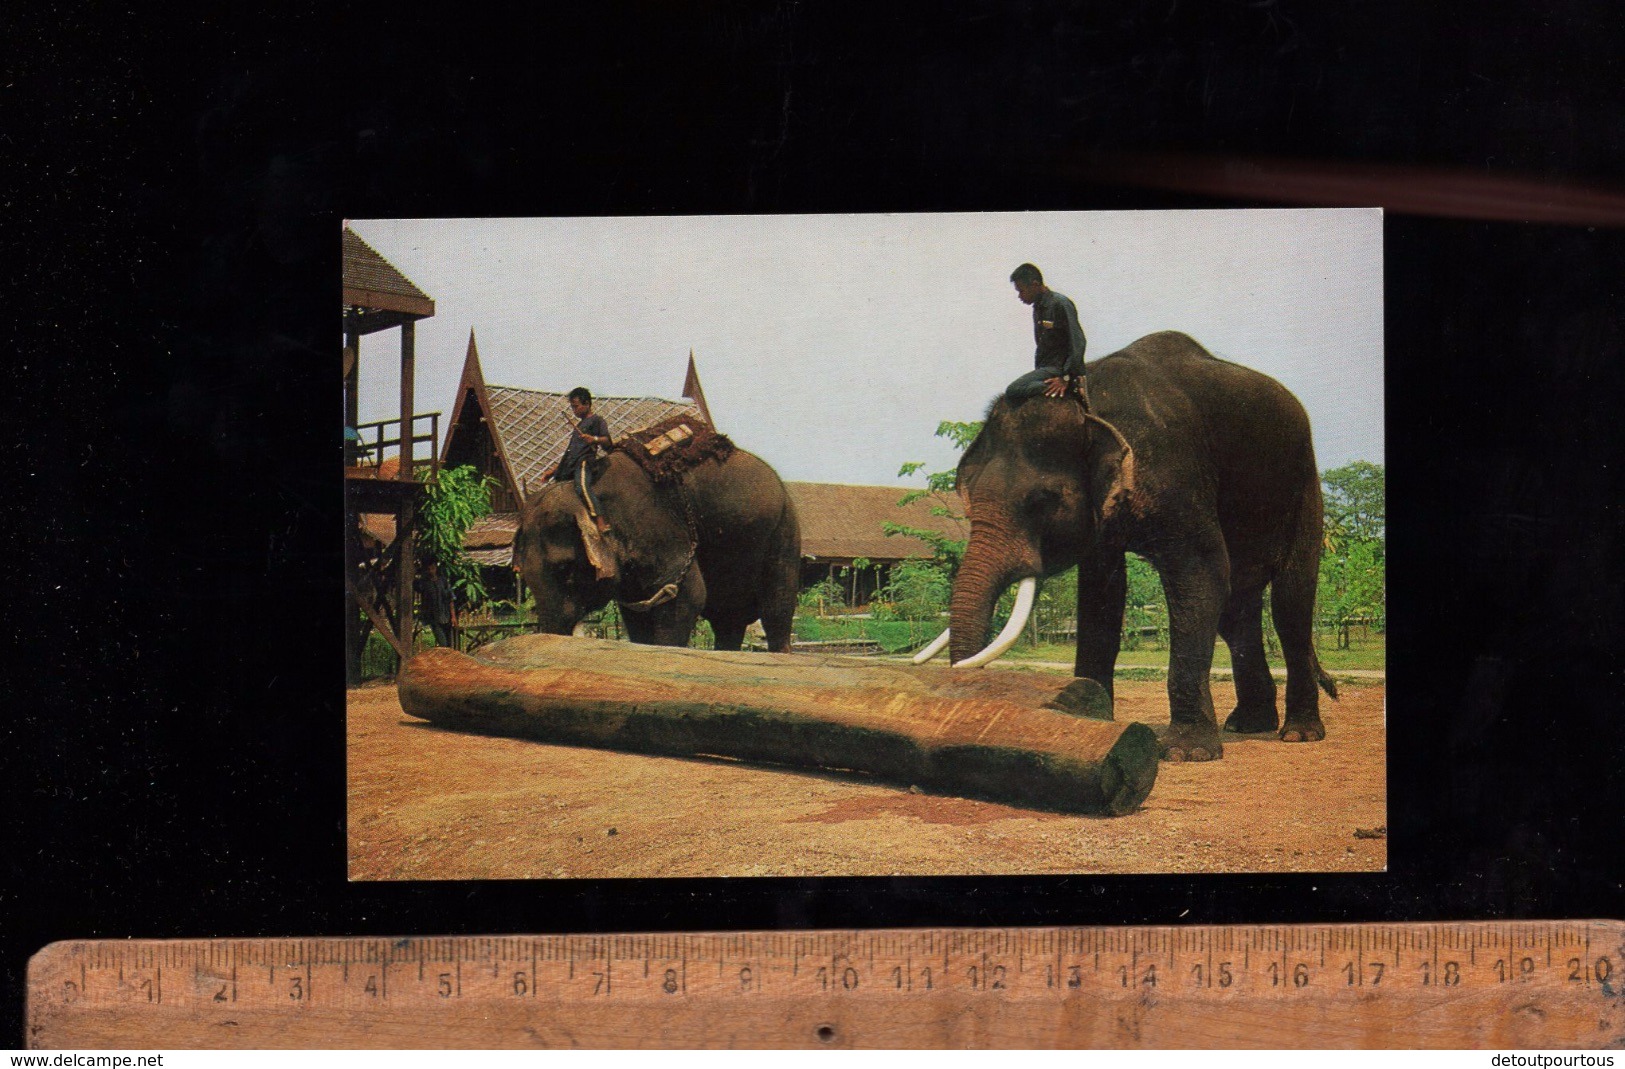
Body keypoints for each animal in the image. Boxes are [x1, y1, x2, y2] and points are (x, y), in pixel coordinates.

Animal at [512, 441, 801, 652]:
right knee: (727, 621)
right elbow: (636, 615)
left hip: (784, 531)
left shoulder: (660, 529)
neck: (586, 492)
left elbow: (687, 597)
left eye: (566, 569)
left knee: (776, 609)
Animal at [929, 330, 1337, 761]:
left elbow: (1200, 573)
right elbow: (1101, 592)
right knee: (1236, 608)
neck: (1087, 399)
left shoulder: (1176, 473)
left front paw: (1185, 754)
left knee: (1289, 603)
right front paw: (1088, 718)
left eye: (1042, 500)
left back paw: (1299, 734)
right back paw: (1248, 725)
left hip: (1305, 488)